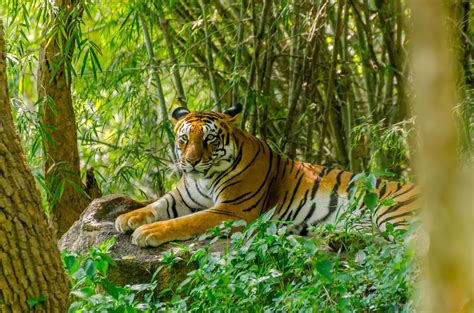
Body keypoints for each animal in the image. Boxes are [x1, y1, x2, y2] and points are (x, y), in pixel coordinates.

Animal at [115, 104, 418, 246]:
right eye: (184, 139)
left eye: (209, 139)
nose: (190, 162)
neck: (204, 176)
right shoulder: (180, 198)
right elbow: (155, 205)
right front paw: (126, 219)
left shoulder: (232, 211)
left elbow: (185, 222)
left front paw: (147, 232)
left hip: (391, 212)